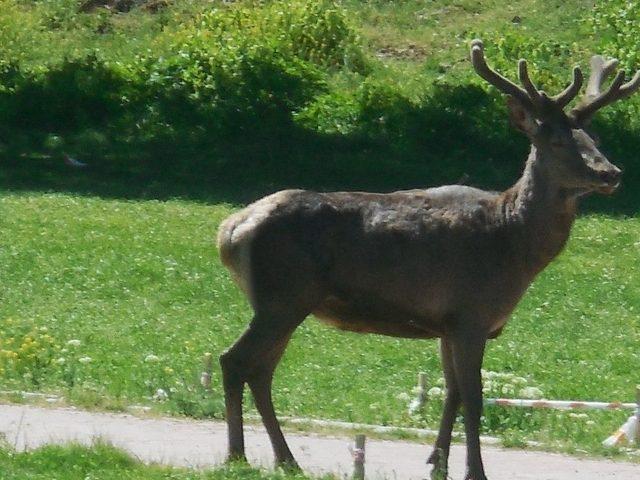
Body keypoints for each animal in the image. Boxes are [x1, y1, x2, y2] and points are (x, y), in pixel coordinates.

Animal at [215, 41, 640, 480]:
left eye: (593, 138)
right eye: (555, 140)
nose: (611, 173)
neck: (512, 244)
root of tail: (229, 232)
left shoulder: (447, 324)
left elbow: (450, 392)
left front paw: (437, 463)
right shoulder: (471, 315)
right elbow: (473, 395)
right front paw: (474, 471)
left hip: (287, 303)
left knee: (260, 371)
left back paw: (287, 460)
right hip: (282, 297)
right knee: (234, 361)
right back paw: (237, 455)